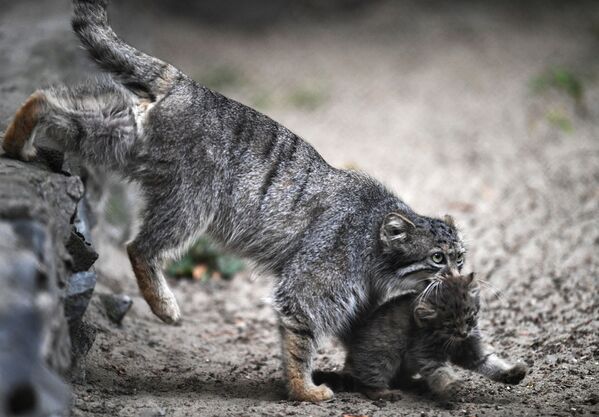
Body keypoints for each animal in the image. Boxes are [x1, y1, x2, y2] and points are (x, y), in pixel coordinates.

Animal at [1, 0, 464, 404]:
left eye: (461, 257)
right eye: (438, 259)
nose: (460, 276)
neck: (372, 235)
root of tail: (184, 82)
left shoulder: (359, 297)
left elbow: (365, 336)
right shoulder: (314, 282)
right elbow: (302, 335)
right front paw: (303, 389)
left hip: (123, 139)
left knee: (56, 104)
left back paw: (19, 134)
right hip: (191, 199)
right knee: (139, 246)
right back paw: (164, 303)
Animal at [312, 270, 528, 400]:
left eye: (469, 318)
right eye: (449, 325)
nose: (463, 333)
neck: (449, 340)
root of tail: (350, 363)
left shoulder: (470, 350)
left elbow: (490, 363)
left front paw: (511, 373)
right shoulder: (425, 353)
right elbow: (440, 372)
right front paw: (450, 386)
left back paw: (416, 384)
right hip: (383, 355)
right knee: (366, 383)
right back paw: (385, 392)